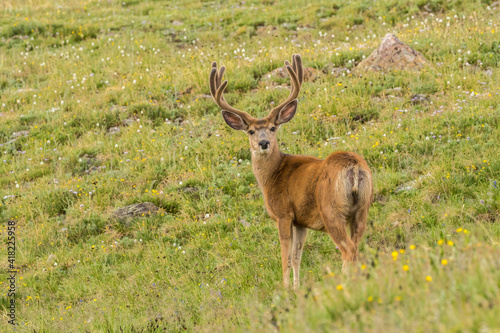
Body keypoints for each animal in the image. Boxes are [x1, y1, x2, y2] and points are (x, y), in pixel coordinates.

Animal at [209, 54, 374, 288]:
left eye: (272, 128)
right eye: (251, 131)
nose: (264, 143)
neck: (272, 176)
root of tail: (354, 166)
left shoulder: (283, 213)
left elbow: (285, 256)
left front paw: (285, 288)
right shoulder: (301, 221)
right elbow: (297, 256)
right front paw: (296, 288)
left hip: (332, 210)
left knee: (348, 251)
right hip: (362, 208)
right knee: (358, 249)